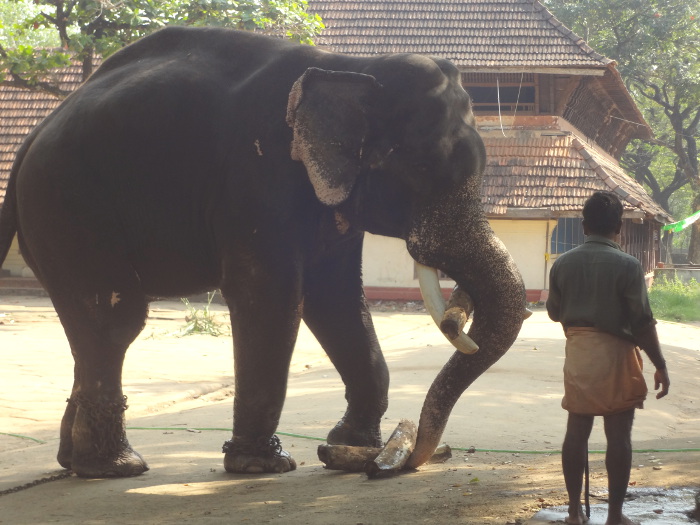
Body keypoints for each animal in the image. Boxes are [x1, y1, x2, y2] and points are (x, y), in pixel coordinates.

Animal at [0, 26, 524, 476]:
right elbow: (271, 295)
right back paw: (117, 467)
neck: (352, 68)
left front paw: (345, 451)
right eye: (422, 171)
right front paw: (263, 465)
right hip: (69, 207)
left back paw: (77, 463)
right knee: (117, 318)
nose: (403, 453)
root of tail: (32, 138)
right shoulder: (258, 173)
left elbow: (335, 297)